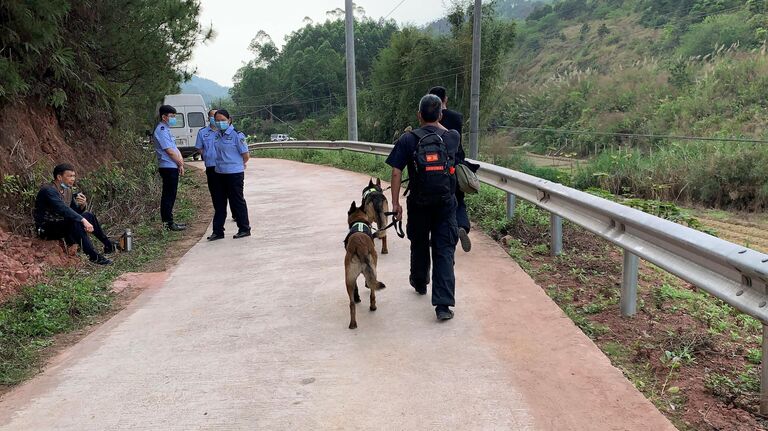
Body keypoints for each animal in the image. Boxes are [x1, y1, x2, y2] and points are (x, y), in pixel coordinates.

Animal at [344, 201, 388, 330]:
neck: (359, 221)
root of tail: (360, 246)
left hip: (349, 279)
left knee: (352, 304)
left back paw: (353, 324)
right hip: (372, 270)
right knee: (372, 291)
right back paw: (372, 307)